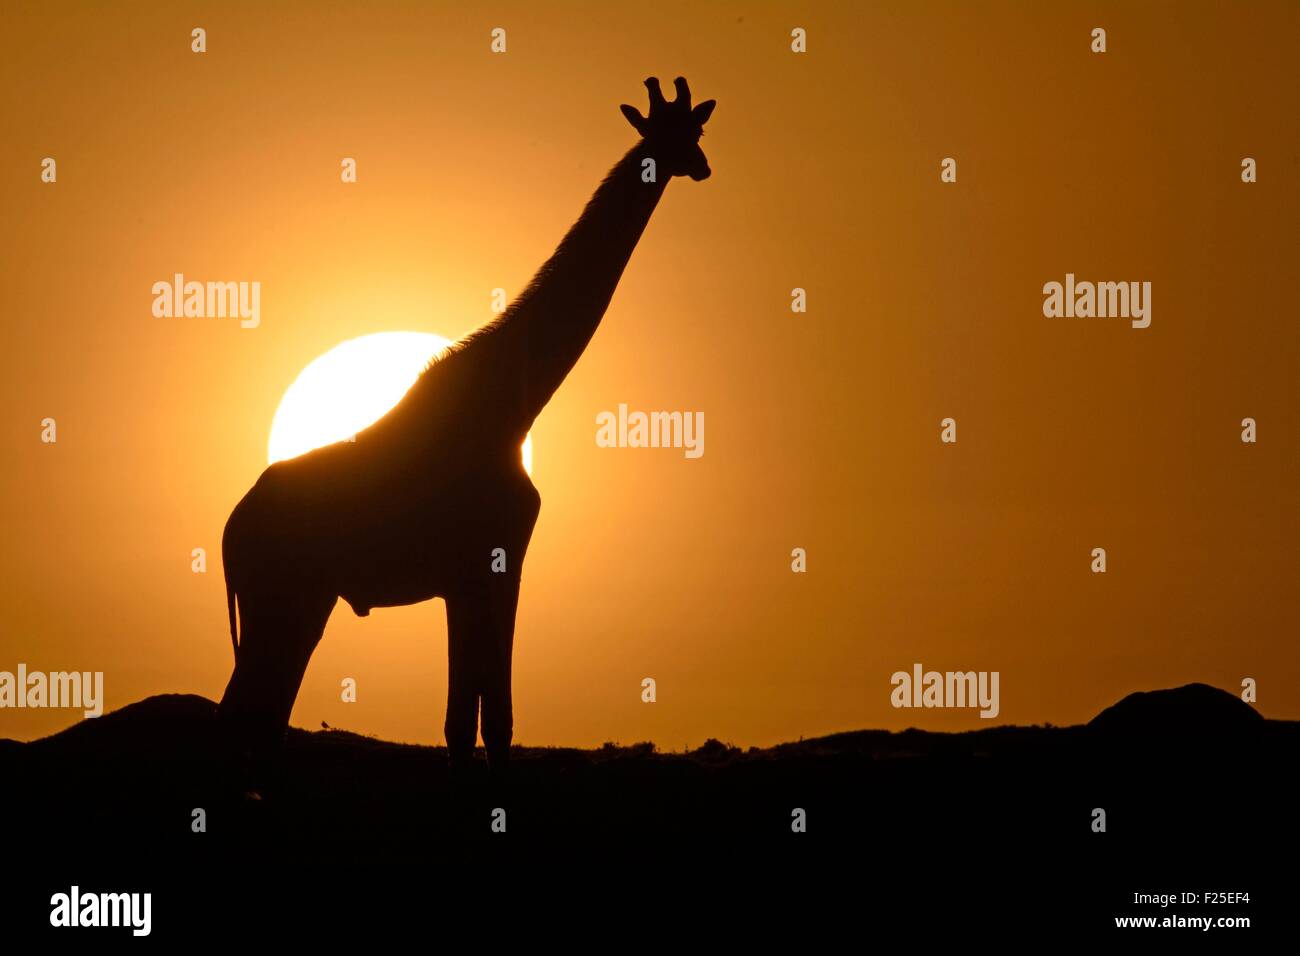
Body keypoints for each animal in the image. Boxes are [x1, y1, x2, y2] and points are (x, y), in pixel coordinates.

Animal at [216, 77, 716, 778]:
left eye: (695, 131)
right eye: (668, 136)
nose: (700, 166)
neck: (514, 403)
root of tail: (229, 533)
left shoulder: (469, 576)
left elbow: (466, 722)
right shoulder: (495, 561)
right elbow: (492, 718)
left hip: (299, 602)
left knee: (254, 720)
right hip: (284, 599)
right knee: (241, 719)